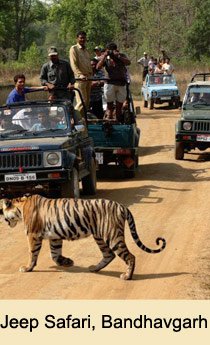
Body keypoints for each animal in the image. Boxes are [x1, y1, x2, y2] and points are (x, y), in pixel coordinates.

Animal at [0, 194, 167, 280]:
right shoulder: (54, 236)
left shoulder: (33, 235)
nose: (4, 220)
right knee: (109, 255)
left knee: (130, 256)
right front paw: (67, 262)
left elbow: (32, 253)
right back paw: (94, 268)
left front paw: (27, 268)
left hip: (113, 236)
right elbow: (55, 254)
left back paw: (127, 276)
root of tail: (122, 206)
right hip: (100, 236)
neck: (20, 207)